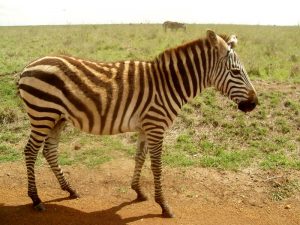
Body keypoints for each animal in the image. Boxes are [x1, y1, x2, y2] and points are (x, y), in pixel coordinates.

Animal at [17, 29, 258, 218]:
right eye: (236, 72)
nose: (254, 103)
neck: (168, 84)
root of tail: (29, 66)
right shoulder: (156, 126)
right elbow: (157, 165)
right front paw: (164, 206)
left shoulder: (146, 126)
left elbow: (140, 157)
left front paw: (138, 191)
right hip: (42, 114)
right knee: (30, 151)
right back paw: (36, 199)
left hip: (57, 117)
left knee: (49, 151)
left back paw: (69, 189)